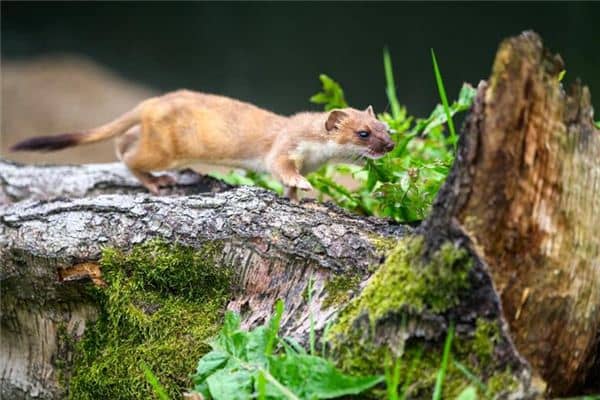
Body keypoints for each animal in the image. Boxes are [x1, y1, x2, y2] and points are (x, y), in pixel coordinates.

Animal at [10, 89, 394, 198]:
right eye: (363, 133)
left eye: (385, 126)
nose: (390, 146)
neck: (315, 156)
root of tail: (150, 103)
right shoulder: (284, 145)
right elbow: (280, 166)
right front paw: (300, 183)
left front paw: (297, 196)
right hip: (164, 149)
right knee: (129, 156)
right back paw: (157, 182)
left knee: (124, 142)